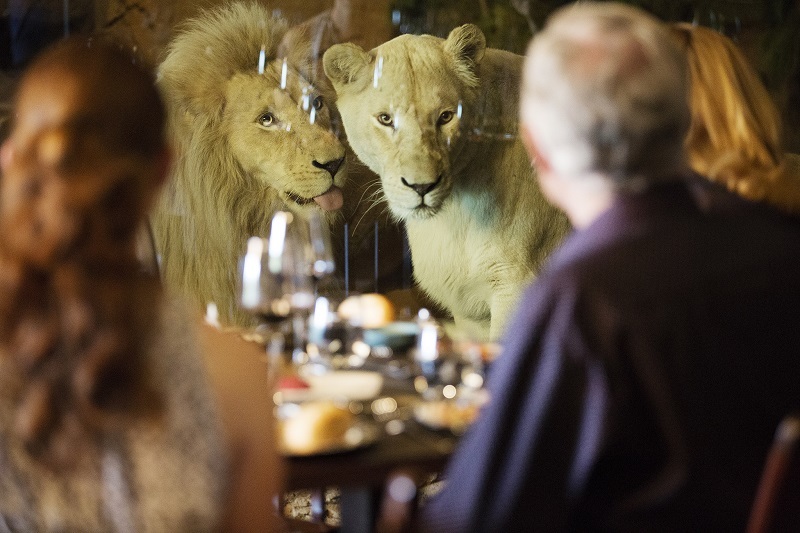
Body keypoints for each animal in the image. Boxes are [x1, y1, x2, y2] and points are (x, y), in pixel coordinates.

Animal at [322, 22, 572, 338]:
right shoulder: (469, 312)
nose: (422, 187)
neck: (453, 218)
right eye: (385, 119)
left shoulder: (515, 287)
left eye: (445, 117)